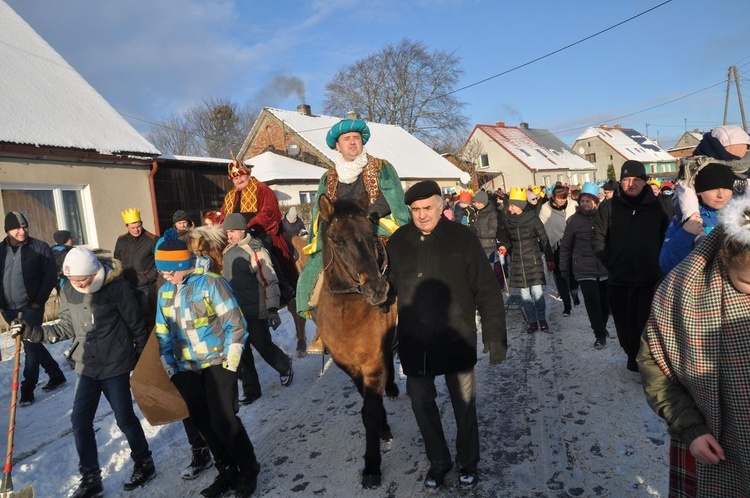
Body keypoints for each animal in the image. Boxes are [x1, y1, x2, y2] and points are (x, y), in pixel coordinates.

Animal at [314, 193, 402, 488]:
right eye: (337, 240)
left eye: (371, 235)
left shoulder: (372, 363)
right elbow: (368, 402)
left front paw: (372, 466)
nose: (377, 289)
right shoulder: (350, 367)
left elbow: (369, 412)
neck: (348, 315)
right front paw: (384, 427)